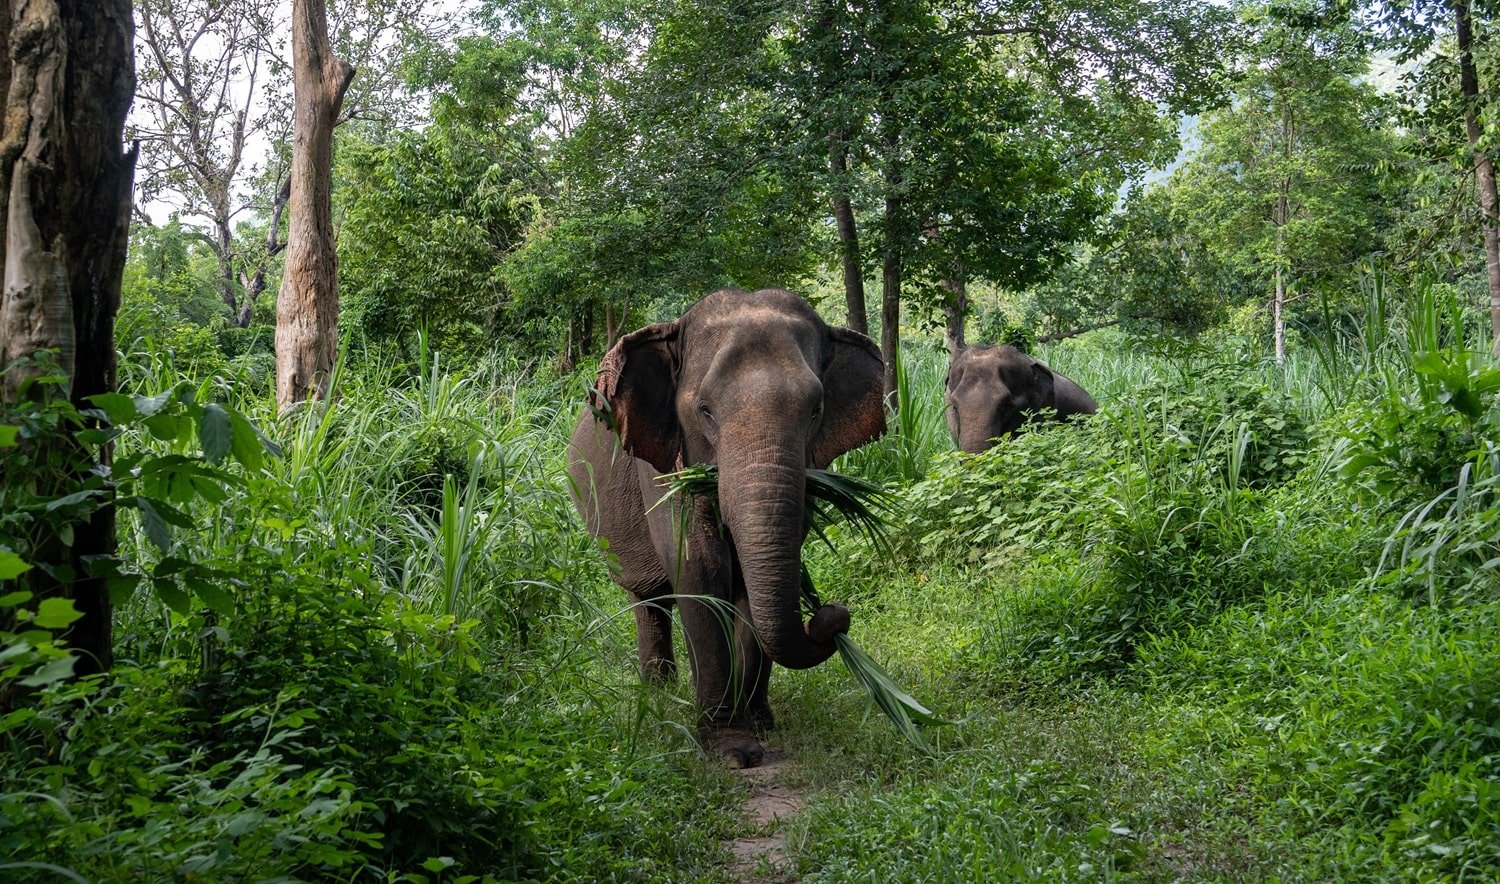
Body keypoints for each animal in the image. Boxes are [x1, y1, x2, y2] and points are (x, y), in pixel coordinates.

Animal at [567, 288, 882, 765]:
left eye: (816, 409)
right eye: (705, 411)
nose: (832, 615)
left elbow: (754, 579)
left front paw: (754, 728)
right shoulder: (662, 463)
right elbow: (699, 567)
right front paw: (733, 750)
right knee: (648, 599)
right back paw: (659, 697)